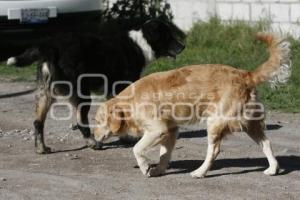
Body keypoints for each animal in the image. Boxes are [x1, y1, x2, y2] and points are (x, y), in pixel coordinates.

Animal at [6, 19, 185, 154]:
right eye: (168, 36)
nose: (183, 47)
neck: (140, 45)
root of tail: (50, 47)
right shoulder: (122, 87)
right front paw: (126, 137)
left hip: (45, 94)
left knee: (38, 122)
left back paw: (41, 148)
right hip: (81, 93)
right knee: (80, 121)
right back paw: (93, 143)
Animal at [94, 33, 290, 178]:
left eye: (97, 121)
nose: (93, 138)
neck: (130, 102)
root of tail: (245, 74)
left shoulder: (157, 130)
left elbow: (137, 149)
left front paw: (144, 167)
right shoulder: (171, 131)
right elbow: (164, 154)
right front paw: (158, 170)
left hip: (215, 123)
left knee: (214, 151)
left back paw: (200, 172)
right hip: (250, 125)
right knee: (266, 143)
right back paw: (273, 168)